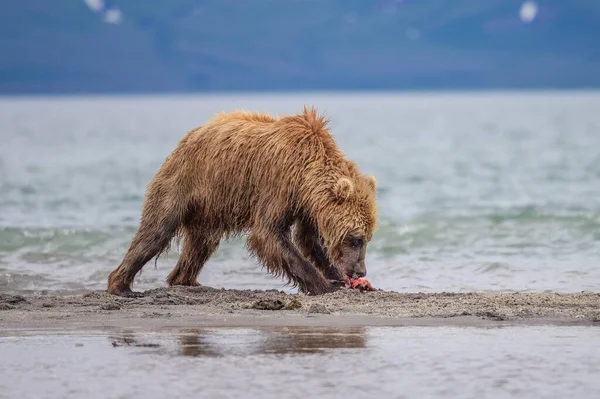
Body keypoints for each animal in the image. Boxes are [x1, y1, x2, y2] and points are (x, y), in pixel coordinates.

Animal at [107, 106, 378, 296]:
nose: (360, 270)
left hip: (209, 208)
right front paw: (325, 284)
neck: (305, 170)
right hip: (182, 182)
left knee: (200, 245)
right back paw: (120, 285)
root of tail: (189, 136)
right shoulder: (277, 184)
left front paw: (342, 279)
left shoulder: (306, 204)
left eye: (367, 238)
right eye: (356, 239)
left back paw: (185, 280)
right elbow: (268, 233)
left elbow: (310, 240)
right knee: (156, 230)